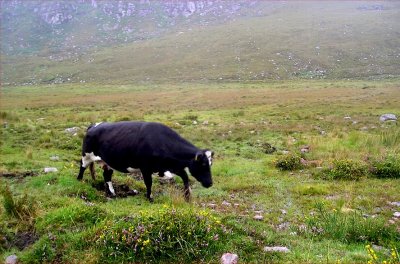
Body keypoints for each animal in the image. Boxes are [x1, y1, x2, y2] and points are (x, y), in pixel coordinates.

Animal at [75, 120, 212, 201]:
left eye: (210, 164)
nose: (210, 183)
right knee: (82, 166)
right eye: (203, 164)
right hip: (86, 155)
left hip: (108, 162)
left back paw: (112, 193)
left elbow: (185, 177)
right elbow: (149, 183)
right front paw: (150, 197)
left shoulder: (170, 166)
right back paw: (79, 180)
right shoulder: (145, 168)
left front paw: (187, 196)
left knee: (107, 175)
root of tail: (94, 125)